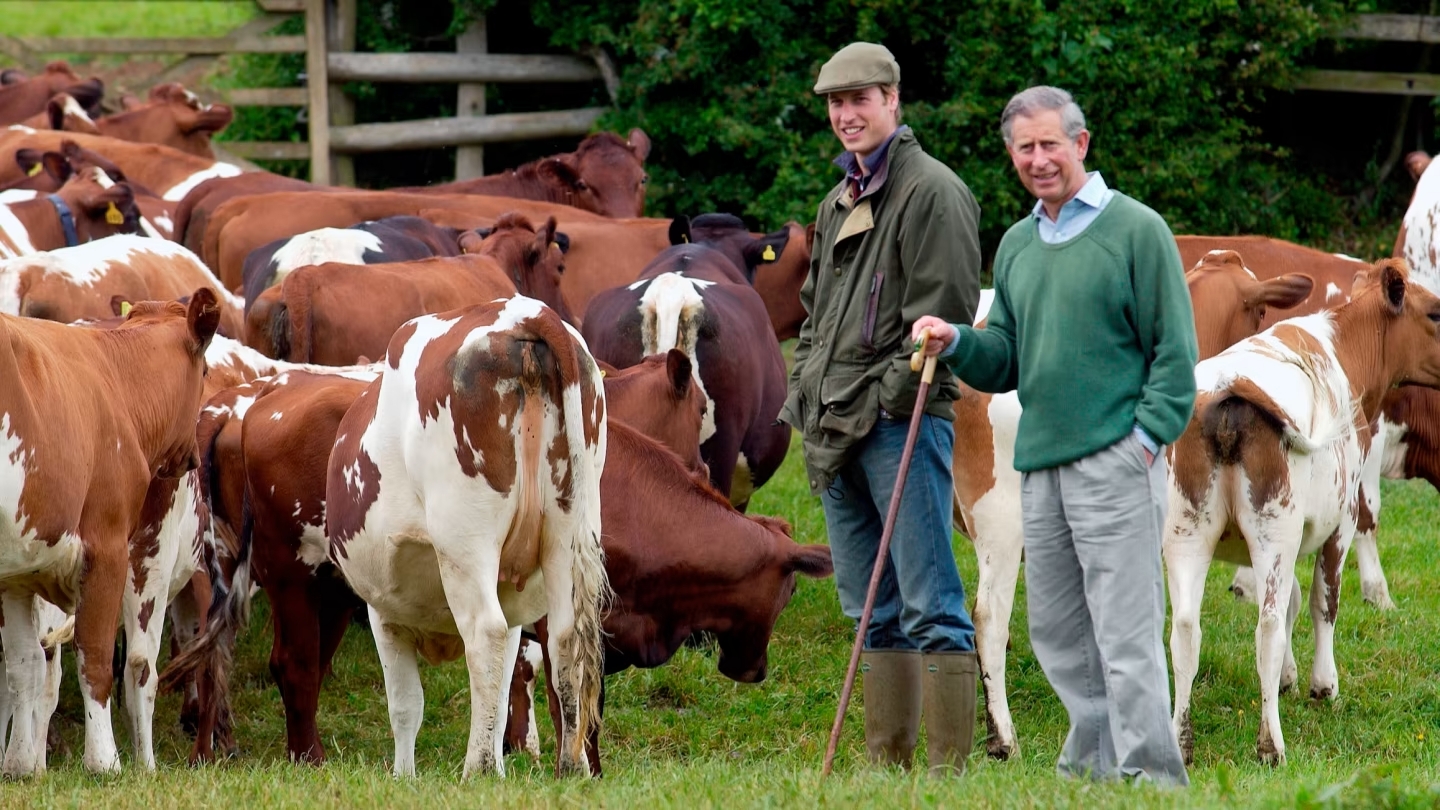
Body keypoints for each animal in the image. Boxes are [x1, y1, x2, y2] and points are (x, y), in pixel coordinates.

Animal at [0, 286, 218, 772]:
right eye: (207, 370)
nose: (193, 458)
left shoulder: (18, 574)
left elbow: (24, 664)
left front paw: (21, 764)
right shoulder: (110, 551)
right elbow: (99, 658)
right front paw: (106, 761)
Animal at [326, 296, 607, 778]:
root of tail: (525, 312)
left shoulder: (383, 610)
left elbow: (405, 705)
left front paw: (404, 777)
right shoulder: (513, 609)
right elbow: (500, 688)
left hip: (465, 541)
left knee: (484, 632)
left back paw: (477, 769)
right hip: (569, 532)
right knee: (566, 639)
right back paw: (571, 767)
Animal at [1163, 257, 1440, 760]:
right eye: (1435, 314)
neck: (1343, 348)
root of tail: (1229, 388)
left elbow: (1292, 597)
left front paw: (1289, 678)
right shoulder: (1340, 523)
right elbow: (1322, 601)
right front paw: (1323, 684)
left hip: (1188, 534)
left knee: (1187, 631)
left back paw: (1179, 739)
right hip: (1272, 531)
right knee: (1267, 628)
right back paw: (1271, 743)